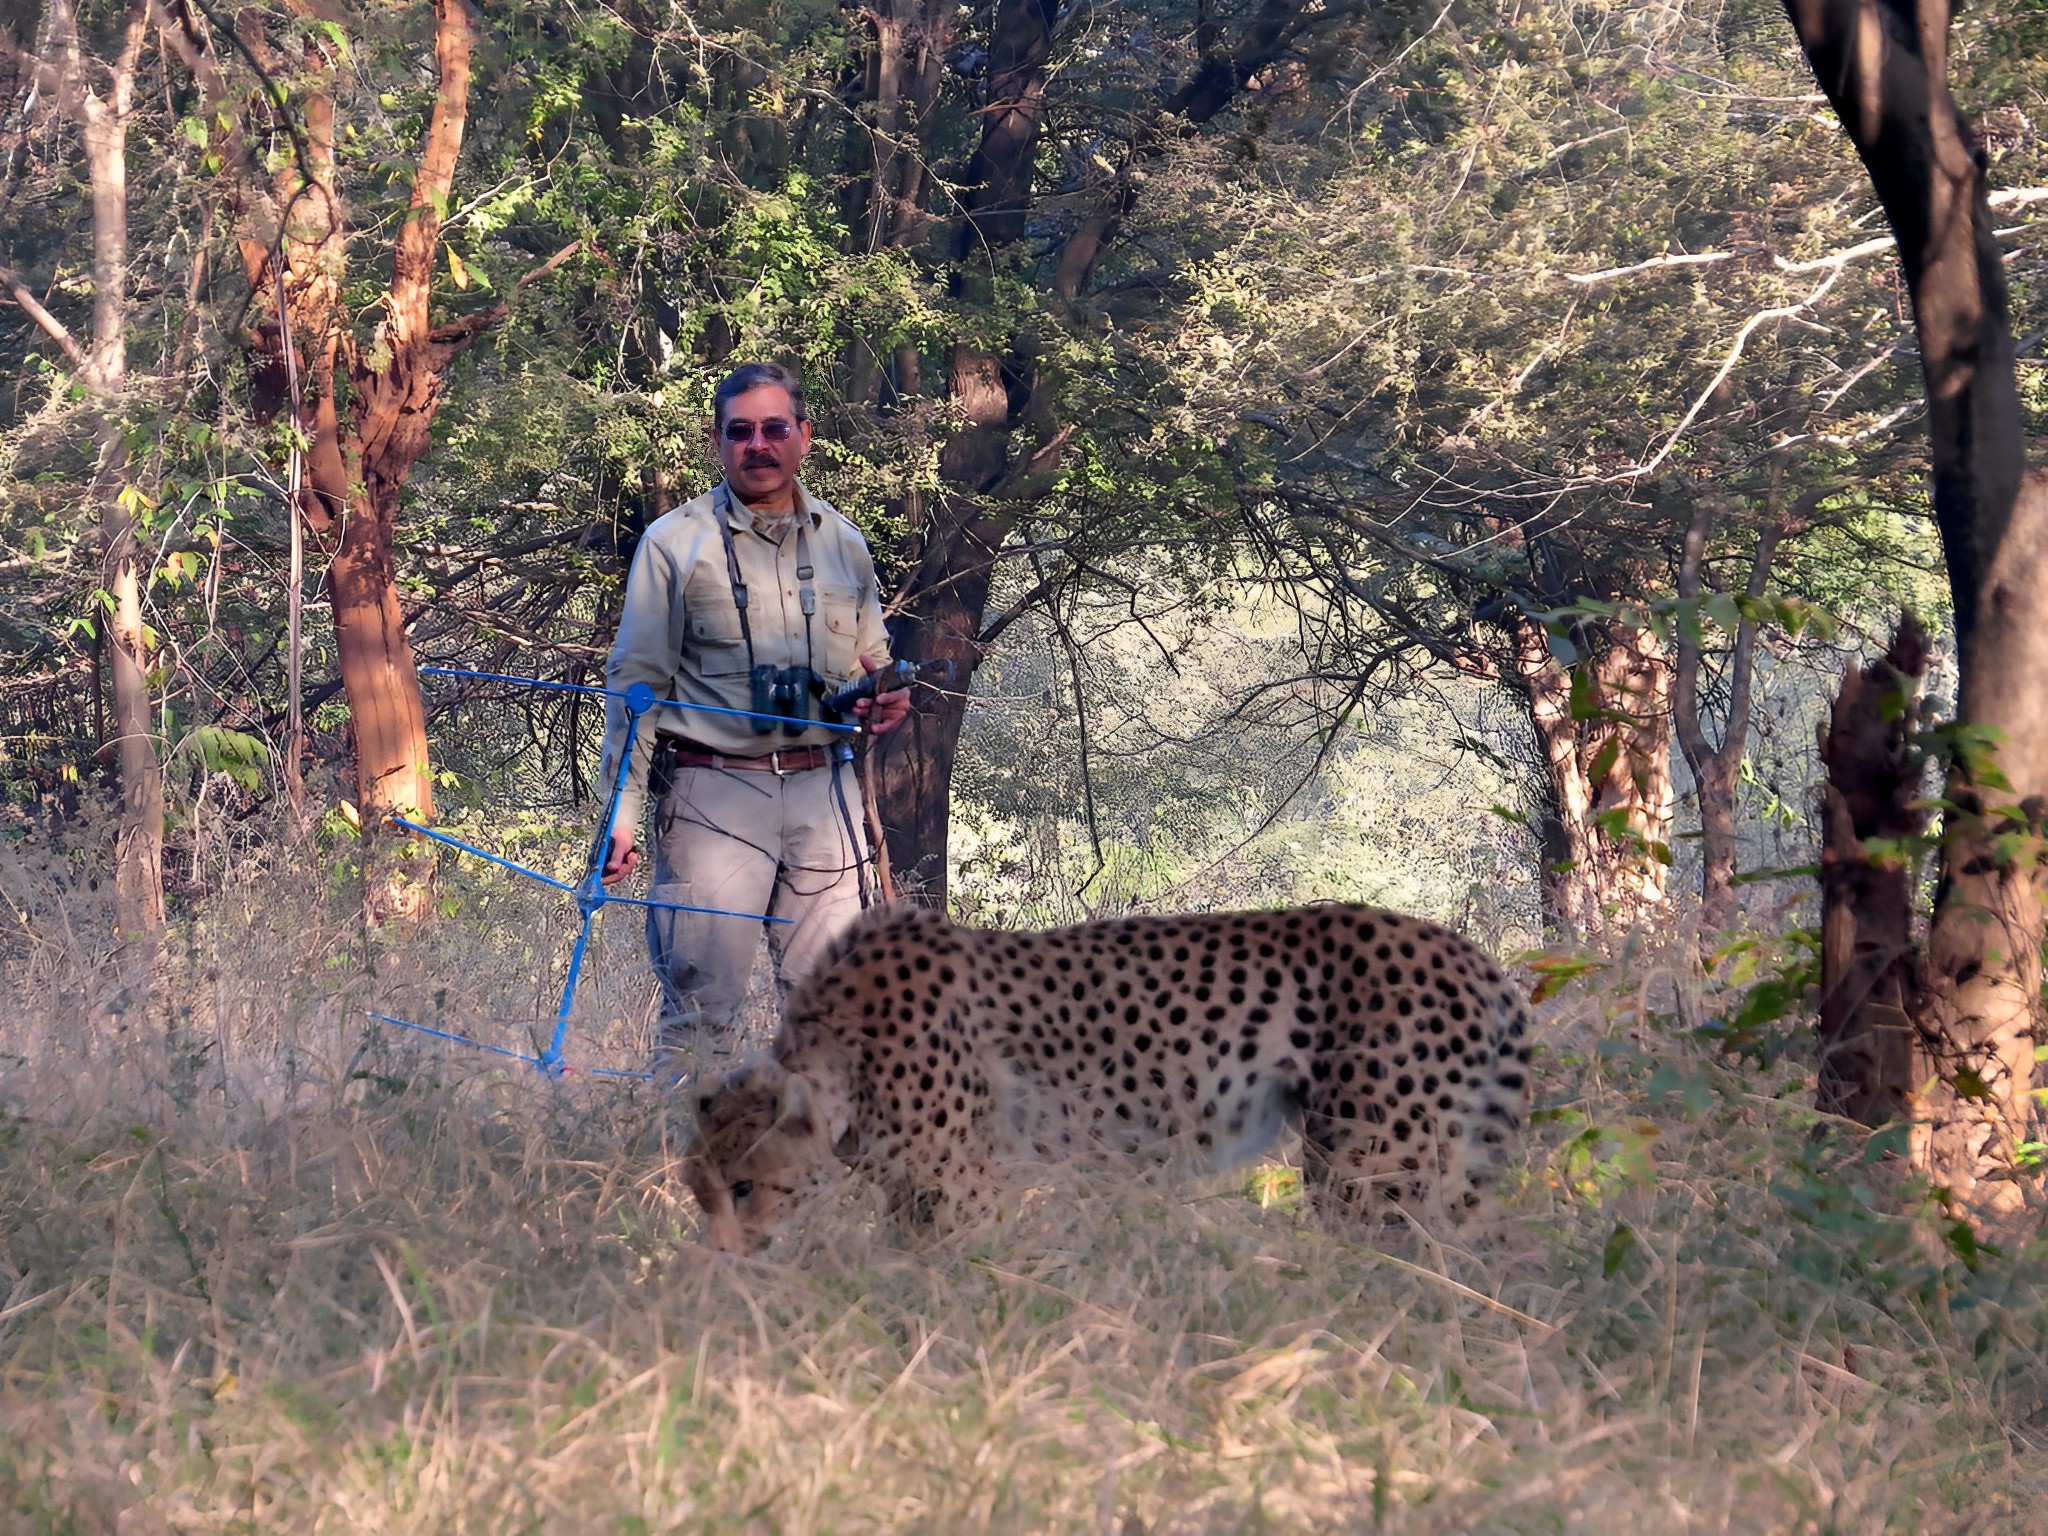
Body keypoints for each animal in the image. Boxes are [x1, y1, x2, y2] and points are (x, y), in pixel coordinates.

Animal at [683, 902, 1533, 1253]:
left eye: (748, 1188)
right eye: (702, 1195)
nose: (722, 1257)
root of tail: (1474, 956)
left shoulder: (962, 1191)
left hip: (1369, 1170)